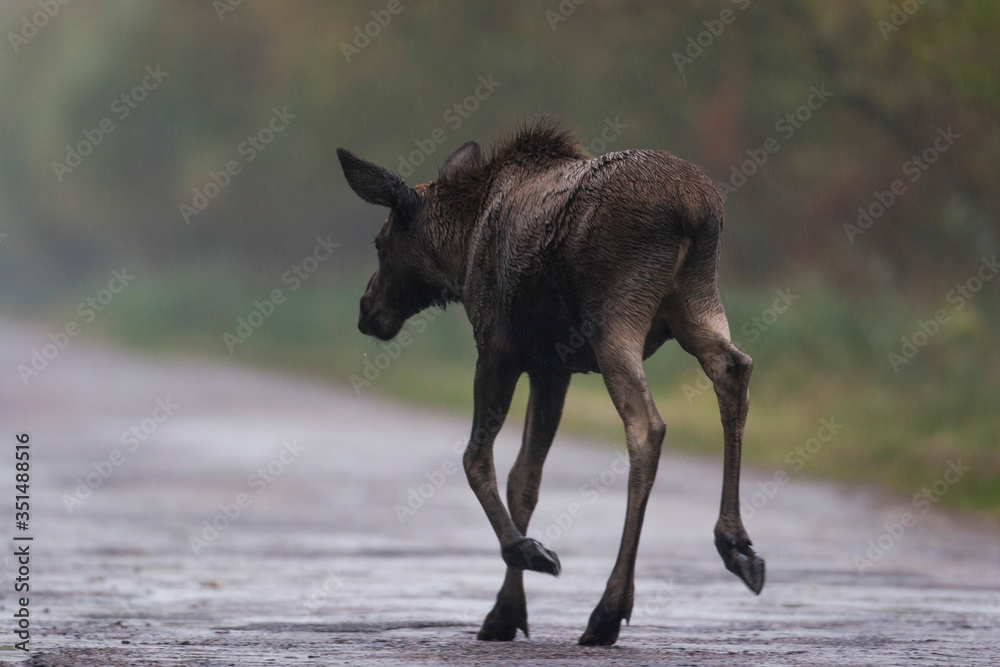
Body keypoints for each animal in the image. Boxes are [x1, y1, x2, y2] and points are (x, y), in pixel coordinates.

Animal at [337, 119, 764, 646]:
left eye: (381, 242)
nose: (367, 310)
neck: (460, 252)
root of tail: (696, 210)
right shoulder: (552, 368)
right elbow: (525, 478)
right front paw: (506, 610)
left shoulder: (497, 349)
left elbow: (476, 459)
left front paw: (529, 553)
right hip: (698, 303)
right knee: (734, 370)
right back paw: (737, 546)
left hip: (616, 317)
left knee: (646, 426)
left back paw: (608, 610)